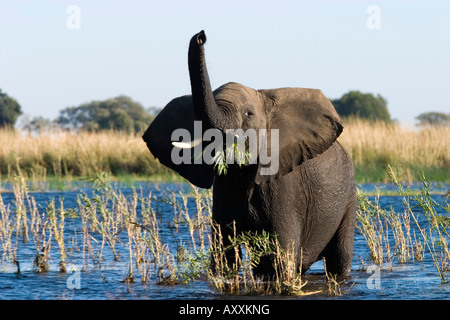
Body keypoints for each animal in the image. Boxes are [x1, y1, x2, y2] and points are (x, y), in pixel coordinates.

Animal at [142, 29, 356, 276]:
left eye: (248, 114)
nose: (201, 35)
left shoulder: (285, 188)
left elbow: (281, 257)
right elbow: (224, 256)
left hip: (348, 197)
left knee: (338, 259)